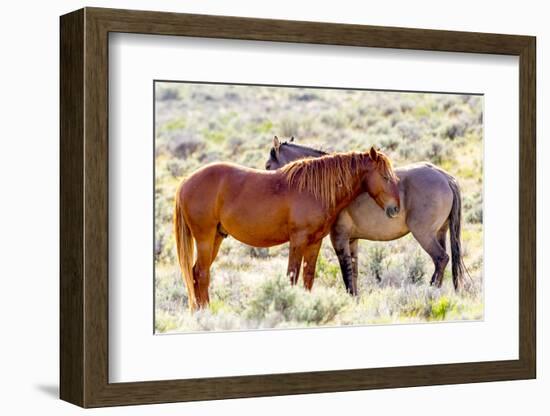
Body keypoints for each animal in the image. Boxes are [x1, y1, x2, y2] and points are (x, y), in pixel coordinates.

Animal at [176, 146, 402, 308]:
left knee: (197, 273)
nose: (395, 208)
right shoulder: (298, 240)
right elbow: (292, 276)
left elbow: (308, 277)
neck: (313, 189)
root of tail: (186, 181)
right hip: (204, 238)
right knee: (201, 274)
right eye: (385, 176)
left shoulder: (314, 242)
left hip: (216, 237)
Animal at [270, 137, 468, 296]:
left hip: (424, 235)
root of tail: (445, 177)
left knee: (441, 259)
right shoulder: (352, 240)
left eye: (268, 166)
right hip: (440, 233)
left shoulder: (339, 238)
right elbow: (354, 272)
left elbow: (346, 272)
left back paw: (430, 290)